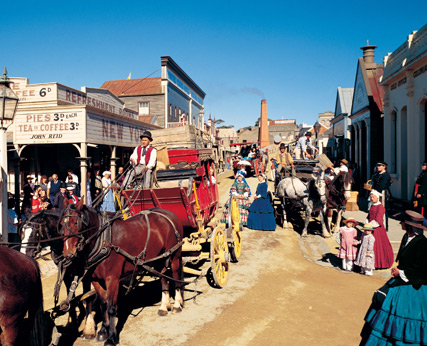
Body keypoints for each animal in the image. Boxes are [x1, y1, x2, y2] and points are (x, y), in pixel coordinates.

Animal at [60, 199, 186, 344]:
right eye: (62, 225)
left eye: (76, 223)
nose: (68, 254)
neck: (103, 241)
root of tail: (169, 213)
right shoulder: (96, 280)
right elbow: (103, 304)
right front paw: (103, 331)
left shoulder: (112, 279)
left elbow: (111, 308)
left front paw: (111, 338)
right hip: (160, 257)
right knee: (164, 277)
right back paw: (164, 306)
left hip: (174, 255)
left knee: (175, 276)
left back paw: (177, 305)